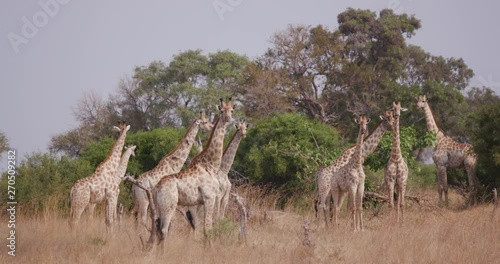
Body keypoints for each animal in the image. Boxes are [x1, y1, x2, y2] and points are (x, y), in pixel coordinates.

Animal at [153, 98, 233, 244]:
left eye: (232, 110)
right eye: (221, 110)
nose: (228, 118)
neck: (211, 165)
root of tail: (156, 189)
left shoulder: (200, 202)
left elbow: (201, 227)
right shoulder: (209, 198)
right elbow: (207, 229)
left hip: (159, 207)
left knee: (157, 229)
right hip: (169, 206)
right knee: (164, 230)